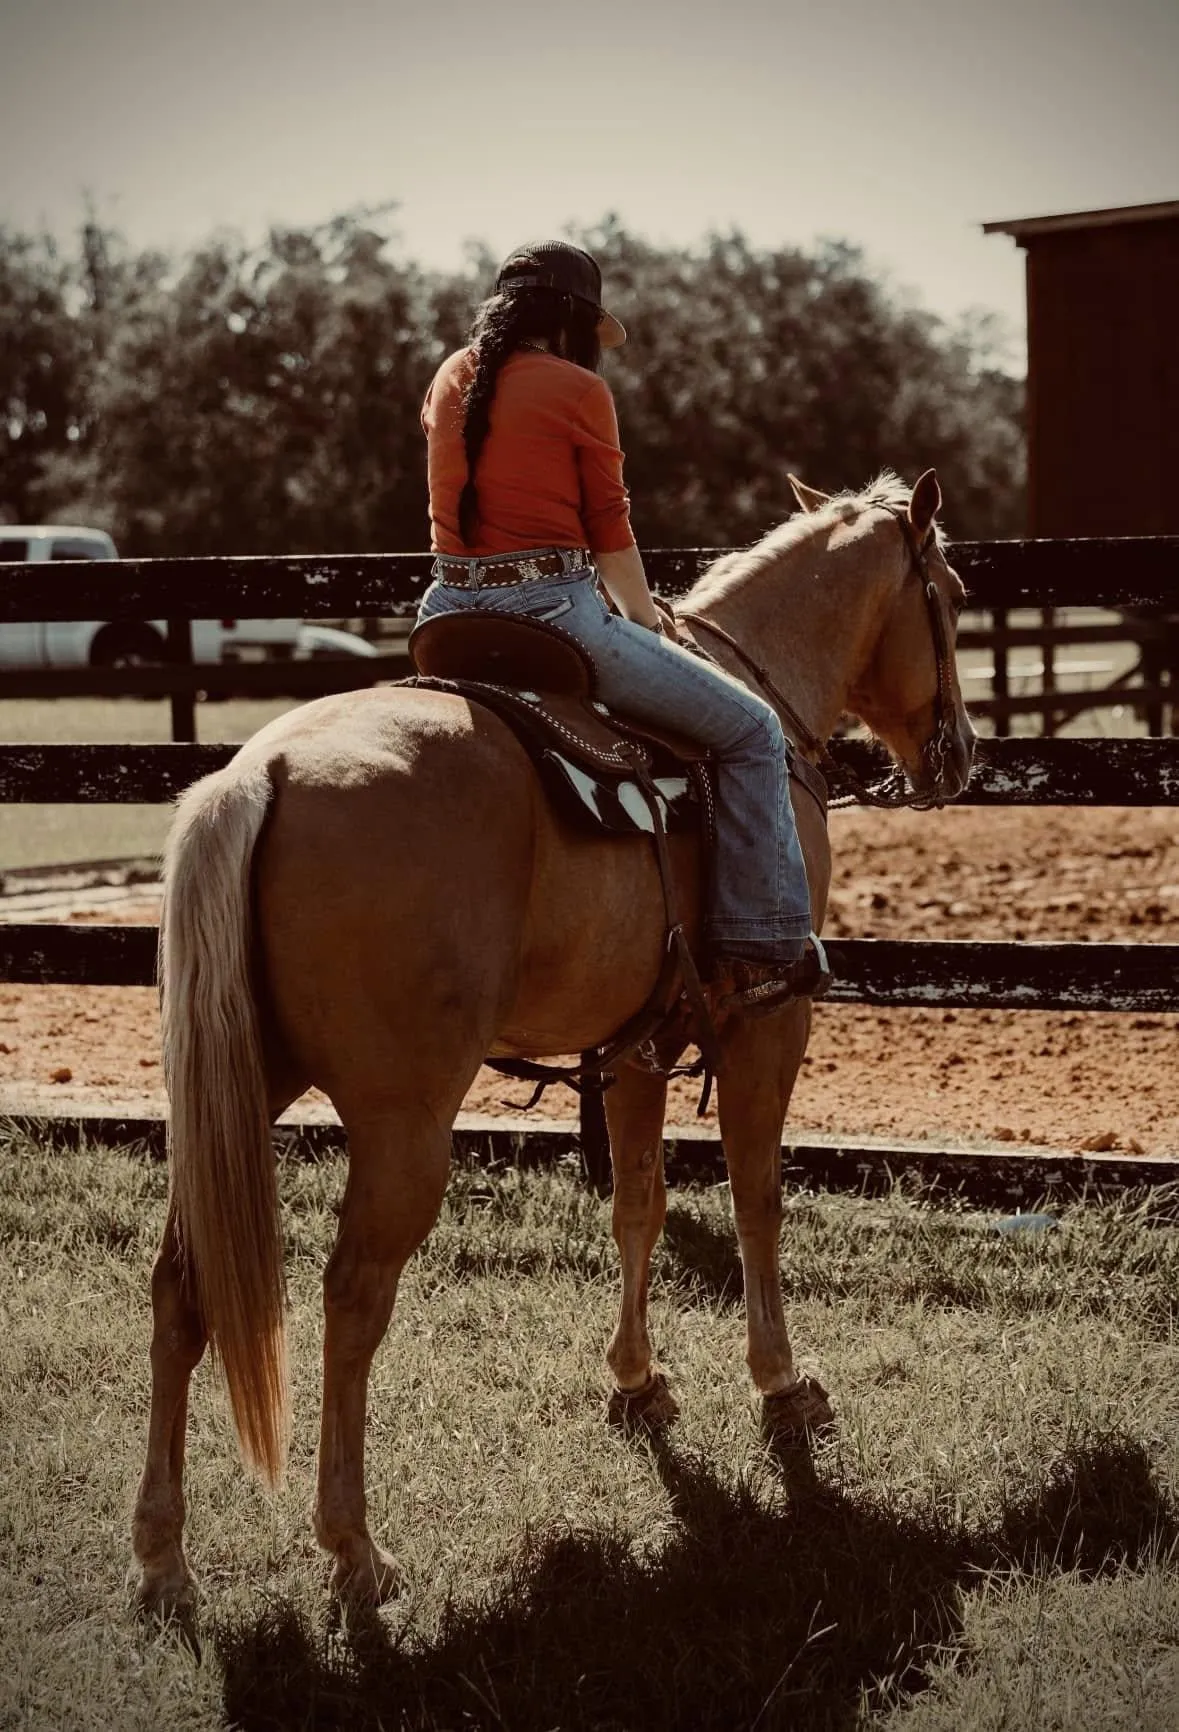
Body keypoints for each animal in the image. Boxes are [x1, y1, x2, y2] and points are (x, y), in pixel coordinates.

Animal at [130, 467, 976, 1614]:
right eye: (951, 594)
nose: (958, 752)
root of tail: (264, 775)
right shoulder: (767, 1024)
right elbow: (756, 1202)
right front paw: (782, 1385)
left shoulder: (639, 1045)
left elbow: (638, 1206)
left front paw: (638, 1381)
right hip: (404, 1127)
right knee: (352, 1297)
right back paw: (353, 1546)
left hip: (236, 1096)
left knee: (183, 1285)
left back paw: (164, 1557)